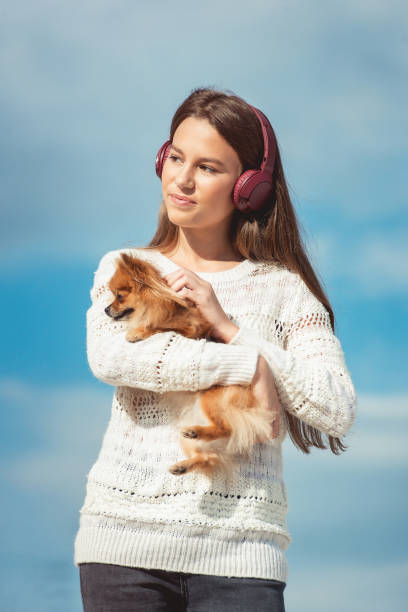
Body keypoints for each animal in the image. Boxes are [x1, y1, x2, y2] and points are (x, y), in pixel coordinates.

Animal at [104, 253, 274, 478]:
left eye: (119, 296)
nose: (105, 309)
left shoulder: (190, 328)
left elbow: (160, 327)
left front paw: (138, 331)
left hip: (211, 400)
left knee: (226, 428)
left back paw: (197, 431)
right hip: (190, 435)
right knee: (208, 457)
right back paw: (183, 464)